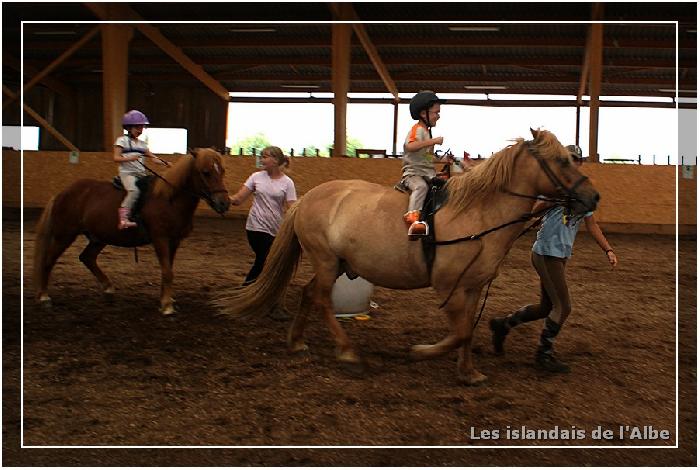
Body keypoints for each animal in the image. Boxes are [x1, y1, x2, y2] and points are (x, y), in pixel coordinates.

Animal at [33, 147, 230, 316]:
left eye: (222, 170)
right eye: (206, 172)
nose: (224, 203)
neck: (169, 199)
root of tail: (61, 193)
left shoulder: (174, 241)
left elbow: (168, 270)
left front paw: (164, 299)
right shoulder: (160, 238)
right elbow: (167, 271)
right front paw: (167, 305)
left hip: (99, 238)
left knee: (87, 257)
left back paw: (108, 289)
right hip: (64, 235)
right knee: (48, 261)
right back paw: (44, 297)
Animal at [216, 130, 600, 384]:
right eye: (563, 160)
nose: (593, 197)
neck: (477, 212)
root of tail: (309, 197)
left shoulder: (473, 286)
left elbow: (468, 331)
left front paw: (468, 373)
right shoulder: (447, 285)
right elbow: (460, 332)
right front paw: (422, 352)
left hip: (336, 264)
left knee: (310, 294)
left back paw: (296, 342)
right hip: (325, 261)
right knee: (322, 299)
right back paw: (348, 352)